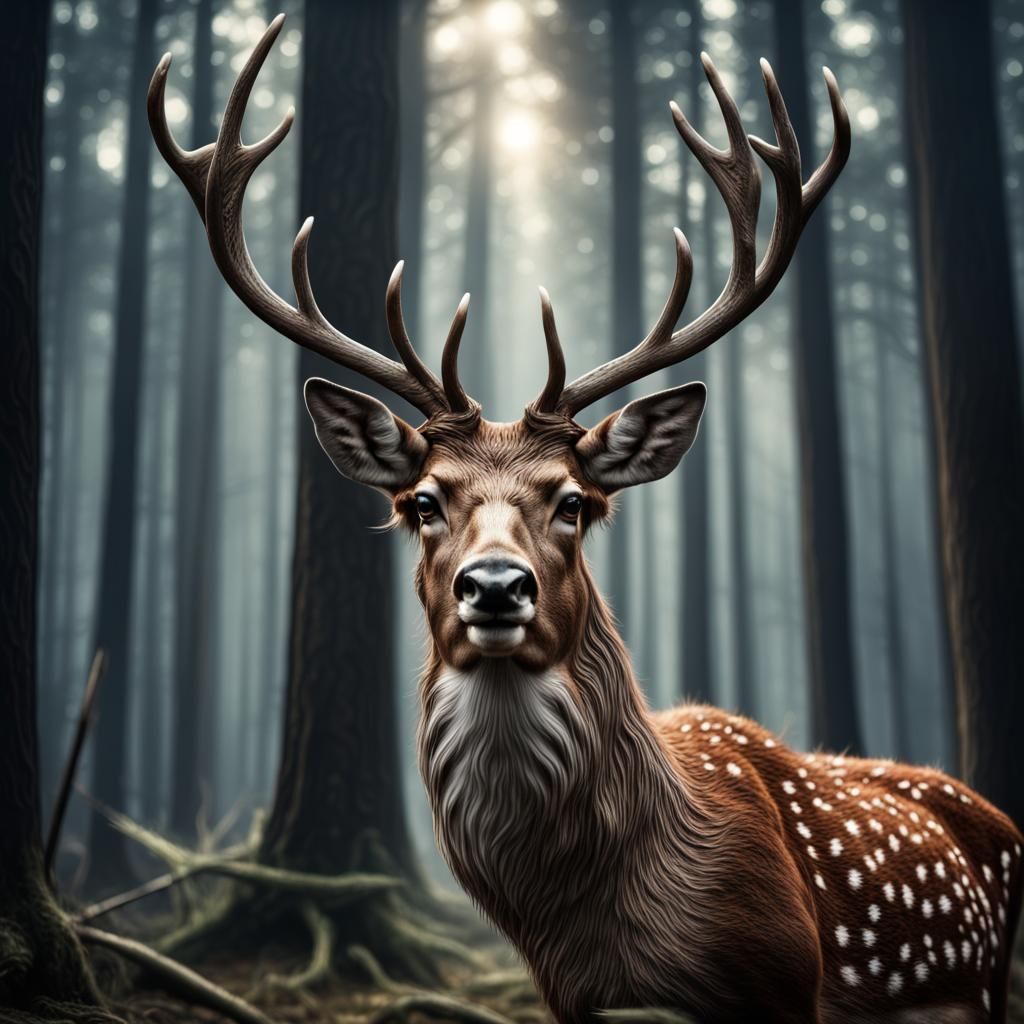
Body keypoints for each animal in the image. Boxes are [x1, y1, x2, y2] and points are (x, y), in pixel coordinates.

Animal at [149, 15, 1023, 1024]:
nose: (495, 586)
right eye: (421, 502)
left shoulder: (793, 983)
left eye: (575, 502)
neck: (621, 926)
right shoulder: (572, 998)